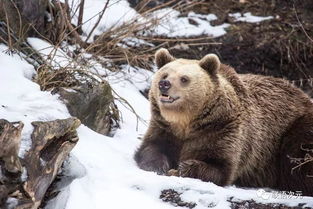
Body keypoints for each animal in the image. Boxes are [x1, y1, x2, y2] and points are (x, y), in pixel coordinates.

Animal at [134, 47, 312, 196]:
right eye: (164, 74)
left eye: (184, 79)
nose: (164, 84)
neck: (187, 121)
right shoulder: (165, 127)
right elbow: (150, 147)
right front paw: (159, 165)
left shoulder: (222, 130)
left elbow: (221, 167)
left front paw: (184, 167)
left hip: (294, 131)